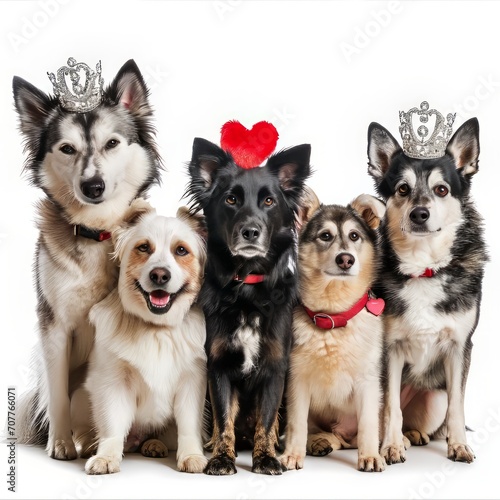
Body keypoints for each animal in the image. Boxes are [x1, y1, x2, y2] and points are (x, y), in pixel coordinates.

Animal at [12, 60, 160, 458]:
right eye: (67, 149)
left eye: (112, 143)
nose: (93, 186)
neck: (100, 232)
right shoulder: (54, 326)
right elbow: (59, 393)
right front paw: (61, 443)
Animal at [86, 202, 209, 472]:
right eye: (143, 247)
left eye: (181, 250)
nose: (160, 275)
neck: (156, 329)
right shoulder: (113, 382)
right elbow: (112, 426)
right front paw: (106, 457)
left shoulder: (193, 381)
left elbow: (188, 425)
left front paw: (191, 455)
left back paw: (154, 445)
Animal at [186, 139, 310, 474]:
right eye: (231, 199)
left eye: (268, 201)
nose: (250, 231)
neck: (247, 288)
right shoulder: (218, 367)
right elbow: (224, 419)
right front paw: (221, 458)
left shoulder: (275, 369)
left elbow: (265, 422)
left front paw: (265, 458)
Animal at [282, 190, 386, 472]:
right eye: (325, 235)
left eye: (354, 236)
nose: (346, 259)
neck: (333, 317)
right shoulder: (297, 381)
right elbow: (296, 423)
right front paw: (292, 454)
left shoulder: (368, 383)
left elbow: (369, 424)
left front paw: (370, 456)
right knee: (329, 436)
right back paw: (319, 442)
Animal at [368, 118, 488, 464]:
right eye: (402, 189)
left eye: (441, 189)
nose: (419, 214)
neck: (424, 269)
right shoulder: (389, 351)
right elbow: (390, 406)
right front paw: (390, 447)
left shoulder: (460, 347)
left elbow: (458, 406)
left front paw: (459, 445)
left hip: (435, 398)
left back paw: (416, 435)